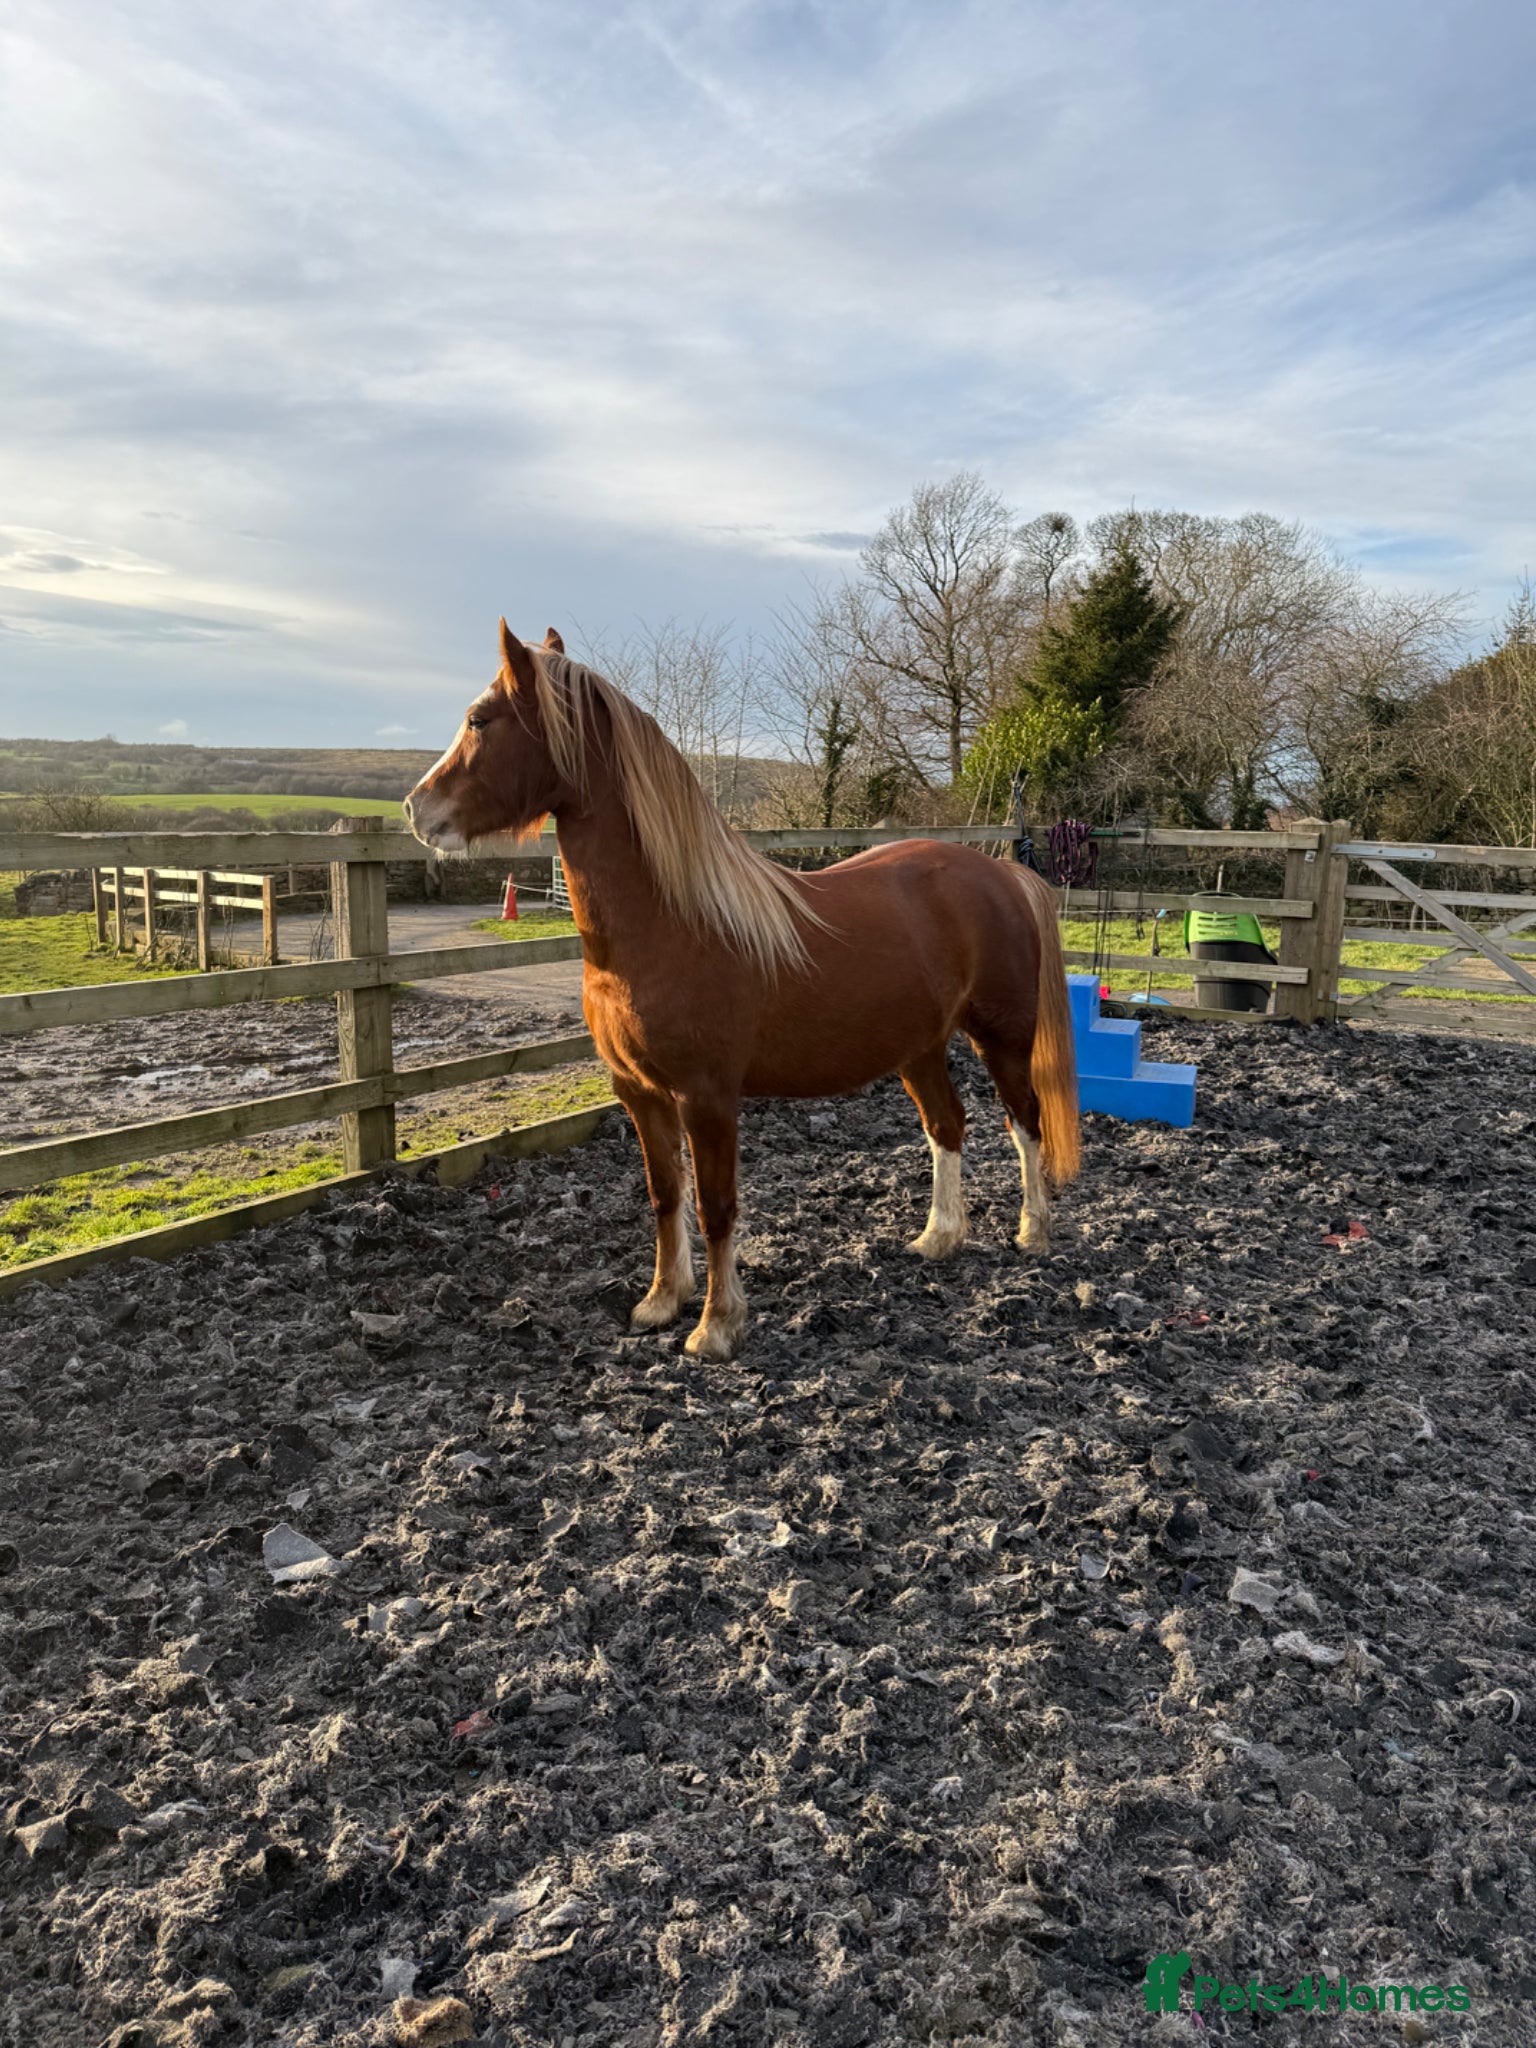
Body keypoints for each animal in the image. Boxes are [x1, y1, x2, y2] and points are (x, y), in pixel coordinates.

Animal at [405, 621, 1080, 1361]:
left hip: (1003, 1039)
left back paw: (1033, 1232)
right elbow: (664, 1195)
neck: (670, 922)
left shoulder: (707, 1098)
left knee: (1025, 1122)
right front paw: (661, 1301)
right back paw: (939, 1237)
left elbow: (716, 1206)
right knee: (947, 1125)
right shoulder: (638, 1092)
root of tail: (1003, 873)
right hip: (919, 1048)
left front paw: (716, 1326)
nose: (415, 810)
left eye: (479, 719)